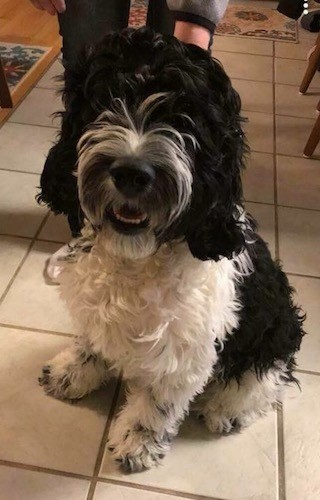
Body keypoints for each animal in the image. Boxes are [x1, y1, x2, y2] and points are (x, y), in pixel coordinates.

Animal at [38, 28, 304, 472]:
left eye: (184, 121)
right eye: (107, 101)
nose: (131, 172)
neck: (136, 258)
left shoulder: (186, 347)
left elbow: (158, 400)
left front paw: (137, 441)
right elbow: (91, 343)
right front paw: (71, 372)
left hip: (273, 332)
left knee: (267, 379)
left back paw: (226, 408)